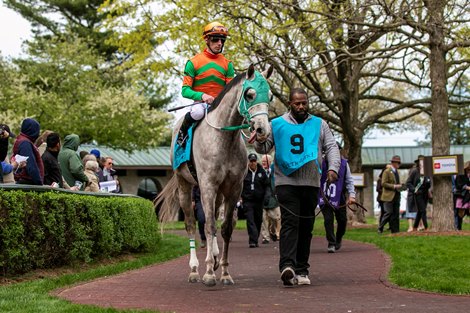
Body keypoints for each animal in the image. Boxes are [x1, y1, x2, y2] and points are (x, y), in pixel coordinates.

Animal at [155, 64, 272, 286]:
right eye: (250, 94)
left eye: (269, 96)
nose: (263, 130)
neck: (224, 138)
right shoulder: (207, 186)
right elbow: (208, 226)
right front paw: (209, 273)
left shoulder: (234, 188)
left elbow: (225, 228)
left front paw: (224, 272)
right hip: (185, 186)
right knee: (191, 224)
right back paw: (194, 270)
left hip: (218, 193)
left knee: (215, 220)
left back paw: (215, 256)